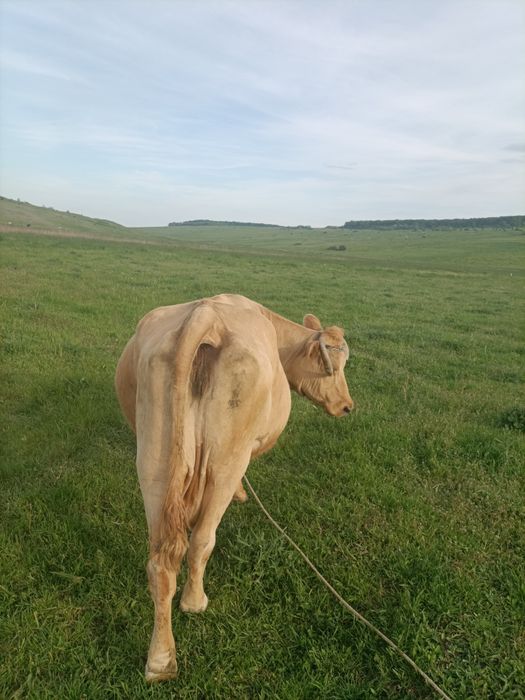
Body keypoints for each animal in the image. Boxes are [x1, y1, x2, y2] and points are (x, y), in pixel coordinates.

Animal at [114, 293, 353, 681]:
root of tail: (205, 315)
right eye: (336, 366)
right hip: (224, 461)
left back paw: (160, 660)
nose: (348, 406)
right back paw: (195, 603)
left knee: (161, 561)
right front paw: (244, 493)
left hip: (154, 461)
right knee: (201, 540)